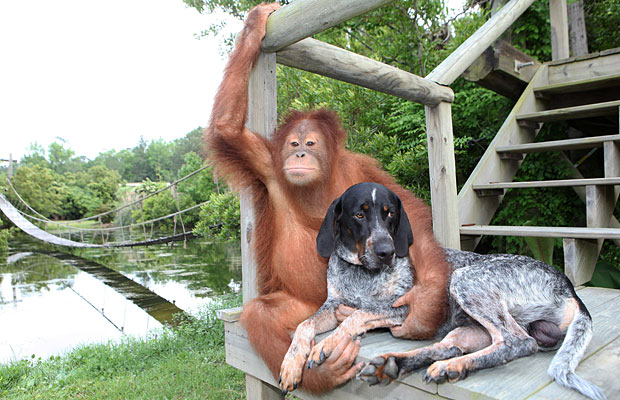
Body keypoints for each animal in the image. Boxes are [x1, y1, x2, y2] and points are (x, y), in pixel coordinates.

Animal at [282, 182, 604, 400]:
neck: (361, 273)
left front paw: (326, 344)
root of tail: (569, 288)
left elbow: (357, 315)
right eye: (359, 216)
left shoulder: (401, 309)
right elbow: (304, 325)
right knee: (450, 347)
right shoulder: (332, 304)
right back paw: (401, 365)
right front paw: (290, 365)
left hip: (465, 278)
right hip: (467, 327)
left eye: (390, 214)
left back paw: (447, 365)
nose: (387, 252)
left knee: (518, 342)